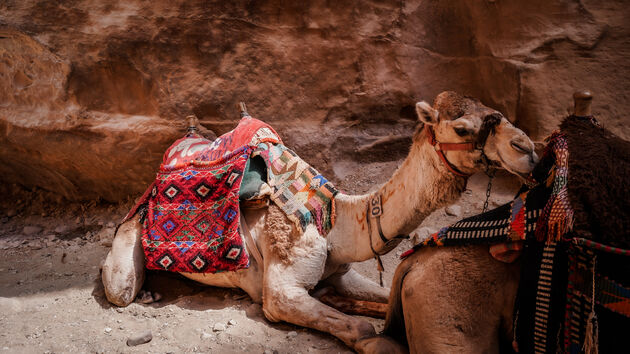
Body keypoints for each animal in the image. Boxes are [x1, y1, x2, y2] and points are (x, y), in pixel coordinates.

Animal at [102, 91, 540, 352]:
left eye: (495, 113)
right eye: (463, 128)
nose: (528, 149)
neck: (334, 223)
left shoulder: (341, 270)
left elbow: (381, 296)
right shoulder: (281, 291)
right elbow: (360, 329)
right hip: (130, 237)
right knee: (119, 287)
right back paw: (146, 293)